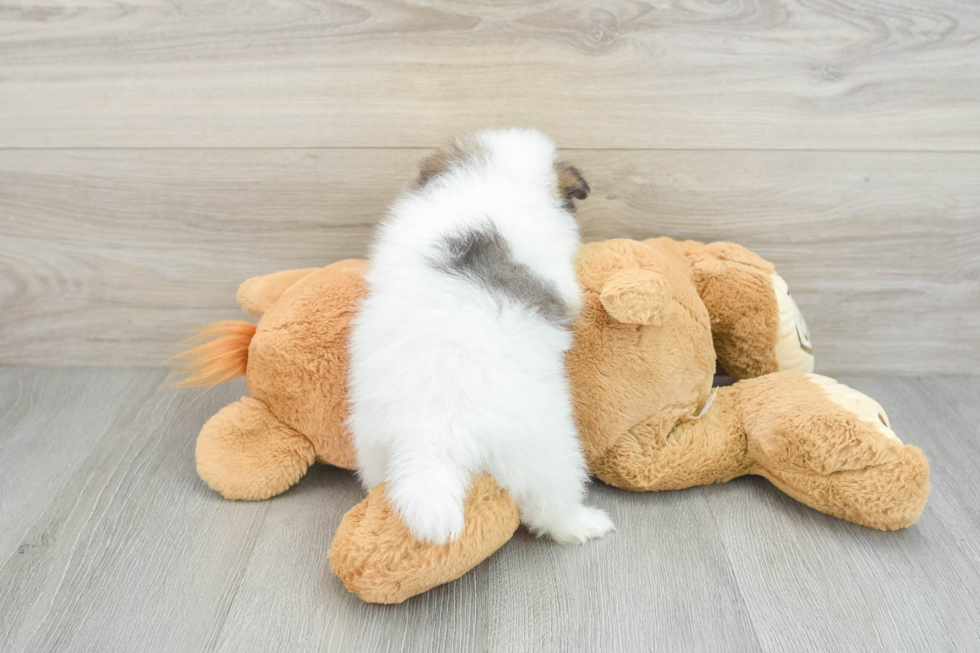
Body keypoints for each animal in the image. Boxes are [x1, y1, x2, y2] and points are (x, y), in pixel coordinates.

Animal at [348, 129, 616, 544]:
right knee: (549, 507)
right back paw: (586, 524)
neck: (490, 181)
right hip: (547, 449)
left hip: (373, 445)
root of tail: (431, 439)